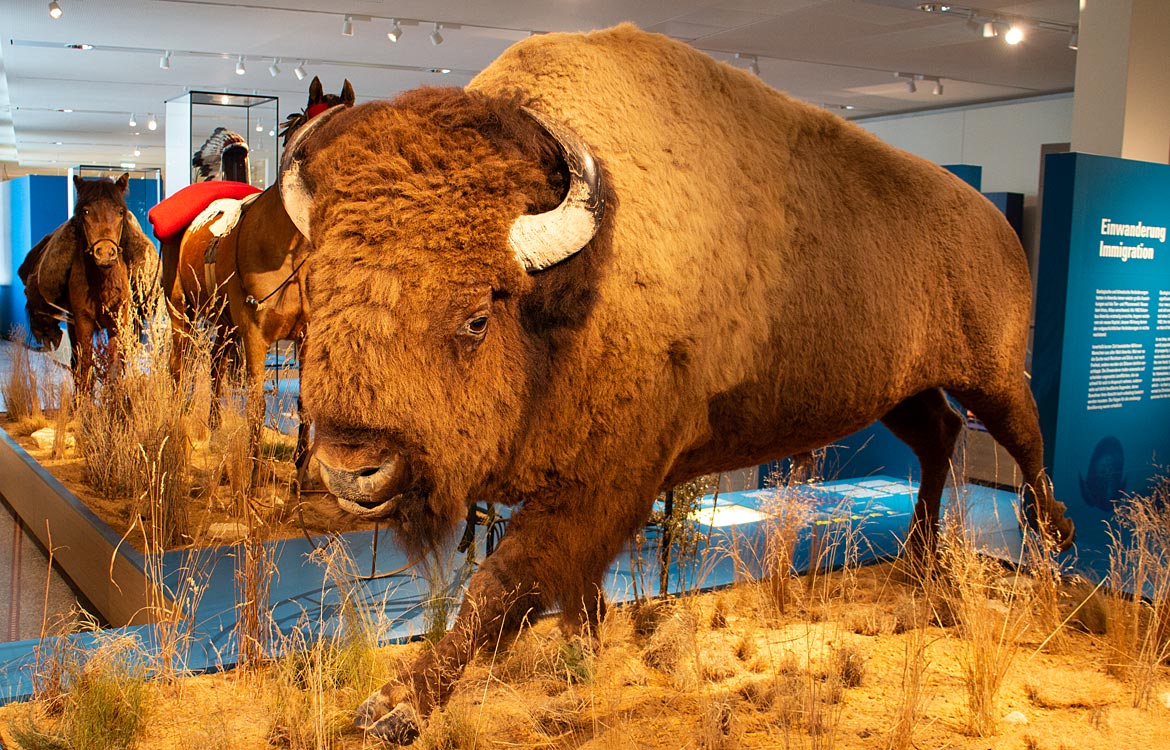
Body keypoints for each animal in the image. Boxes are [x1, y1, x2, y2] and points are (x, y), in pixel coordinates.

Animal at [18, 171, 157, 388]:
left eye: (120, 211)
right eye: (85, 211)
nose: (105, 253)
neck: (102, 285)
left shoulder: (119, 323)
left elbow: (115, 369)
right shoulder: (83, 322)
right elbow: (85, 368)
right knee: (76, 364)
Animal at [156, 78, 355, 470]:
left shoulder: (305, 337)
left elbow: (304, 404)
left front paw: (300, 466)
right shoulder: (254, 334)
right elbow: (256, 403)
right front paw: (251, 466)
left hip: (223, 323)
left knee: (215, 365)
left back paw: (214, 427)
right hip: (181, 313)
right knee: (179, 367)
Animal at [278, 24, 1071, 744]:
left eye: (476, 316)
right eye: (315, 293)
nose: (353, 467)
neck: (579, 280)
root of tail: (998, 224)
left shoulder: (608, 480)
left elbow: (499, 585)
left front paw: (396, 705)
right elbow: (567, 584)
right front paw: (584, 645)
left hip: (992, 375)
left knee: (1023, 438)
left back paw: (1051, 547)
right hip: (900, 390)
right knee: (938, 436)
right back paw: (917, 560)